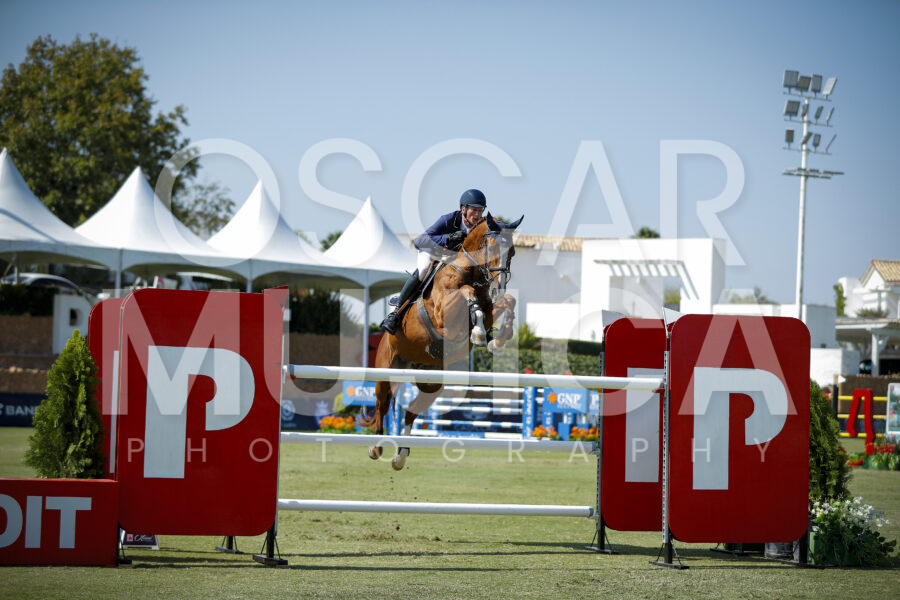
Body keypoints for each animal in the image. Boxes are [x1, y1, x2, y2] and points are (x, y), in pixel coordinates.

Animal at [370, 214, 523, 469]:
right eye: (492, 247)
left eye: (511, 251)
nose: (498, 287)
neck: (470, 269)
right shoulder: (443, 314)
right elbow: (467, 293)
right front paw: (481, 333)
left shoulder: (489, 307)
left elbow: (506, 303)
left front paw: (496, 340)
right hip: (385, 369)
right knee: (382, 403)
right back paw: (375, 446)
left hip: (432, 384)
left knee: (412, 411)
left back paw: (401, 455)